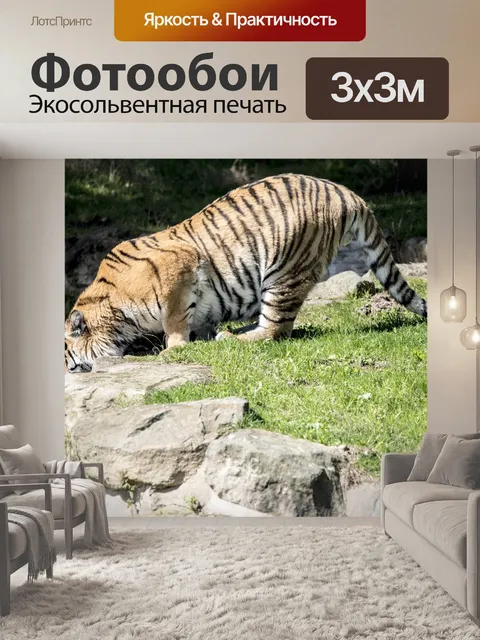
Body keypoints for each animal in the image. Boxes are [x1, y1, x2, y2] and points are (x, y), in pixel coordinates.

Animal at [65, 173, 427, 373]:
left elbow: (175, 320)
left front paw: (174, 348)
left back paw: (234, 336)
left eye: (70, 358)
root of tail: (345, 192)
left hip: (283, 271)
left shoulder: (179, 267)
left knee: (276, 330)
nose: (71, 370)